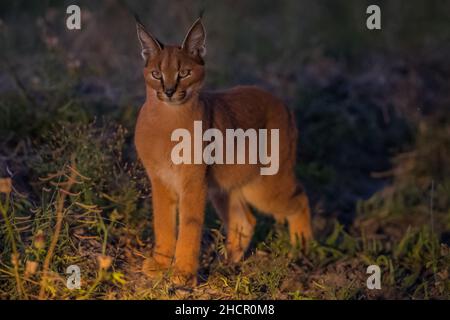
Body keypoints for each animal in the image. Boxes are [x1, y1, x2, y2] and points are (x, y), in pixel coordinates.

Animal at [132, 16, 312, 284]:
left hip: (264, 186)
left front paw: (183, 273)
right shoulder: (160, 180)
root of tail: (282, 103)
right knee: (245, 221)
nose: (169, 91)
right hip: (225, 186)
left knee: (300, 197)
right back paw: (227, 265)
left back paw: (302, 251)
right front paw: (162, 264)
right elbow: (163, 223)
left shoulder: (193, 181)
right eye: (156, 74)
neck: (166, 120)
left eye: (184, 73)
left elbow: (190, 225)